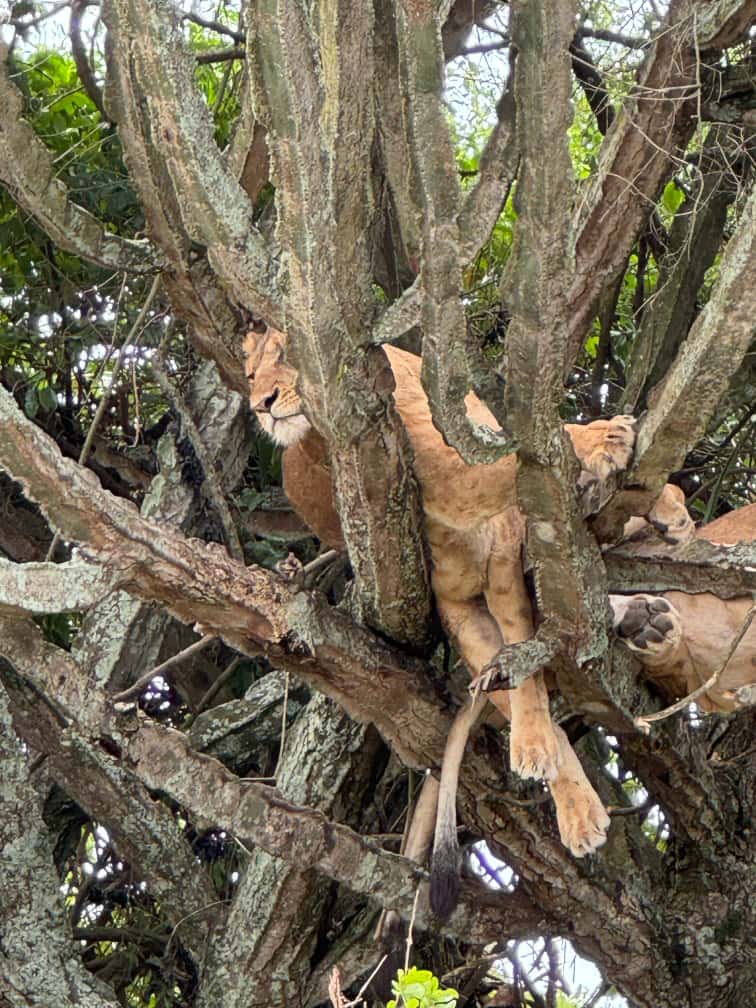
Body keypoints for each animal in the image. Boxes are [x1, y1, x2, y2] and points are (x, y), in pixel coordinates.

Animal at [243, 328, 695, 914]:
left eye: (283, 357)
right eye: (250, 374)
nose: (260, 403)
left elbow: (532, 453)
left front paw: (660, 499)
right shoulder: (449, 487)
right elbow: (526, 458)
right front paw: (605, 440)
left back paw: (645, 598)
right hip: (468, 607)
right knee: (518, 679)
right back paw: (565, 793)